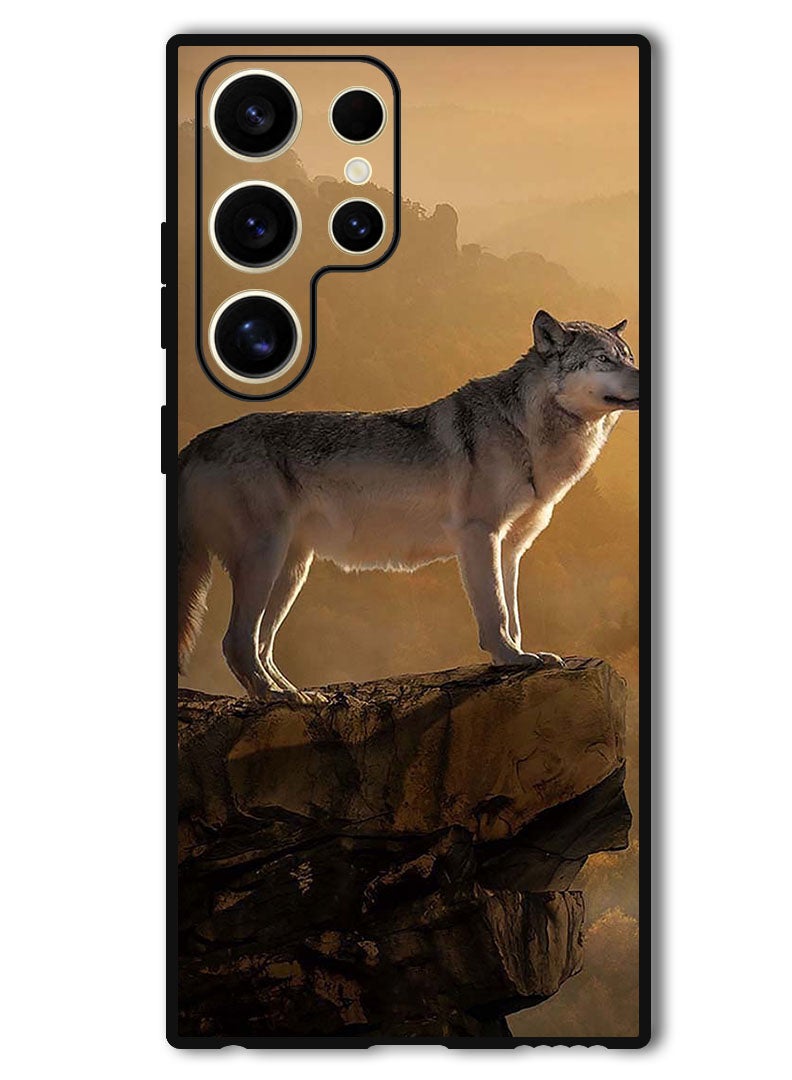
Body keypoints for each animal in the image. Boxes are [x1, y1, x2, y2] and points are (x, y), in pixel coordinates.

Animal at [177, 310, 639, 701]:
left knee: (261, 643)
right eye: (603, 359)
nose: (644, 376)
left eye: (628, 358)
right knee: (236, 641)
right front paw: (509, 659)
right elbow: (495, 611)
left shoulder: (511, 548)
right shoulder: (478, 535)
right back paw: (276, 697)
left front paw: (522, 657)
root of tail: (196, 442)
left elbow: (514, 615)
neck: (525, 429)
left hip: (292, 571)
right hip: (266, 560)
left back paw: (295, 694)